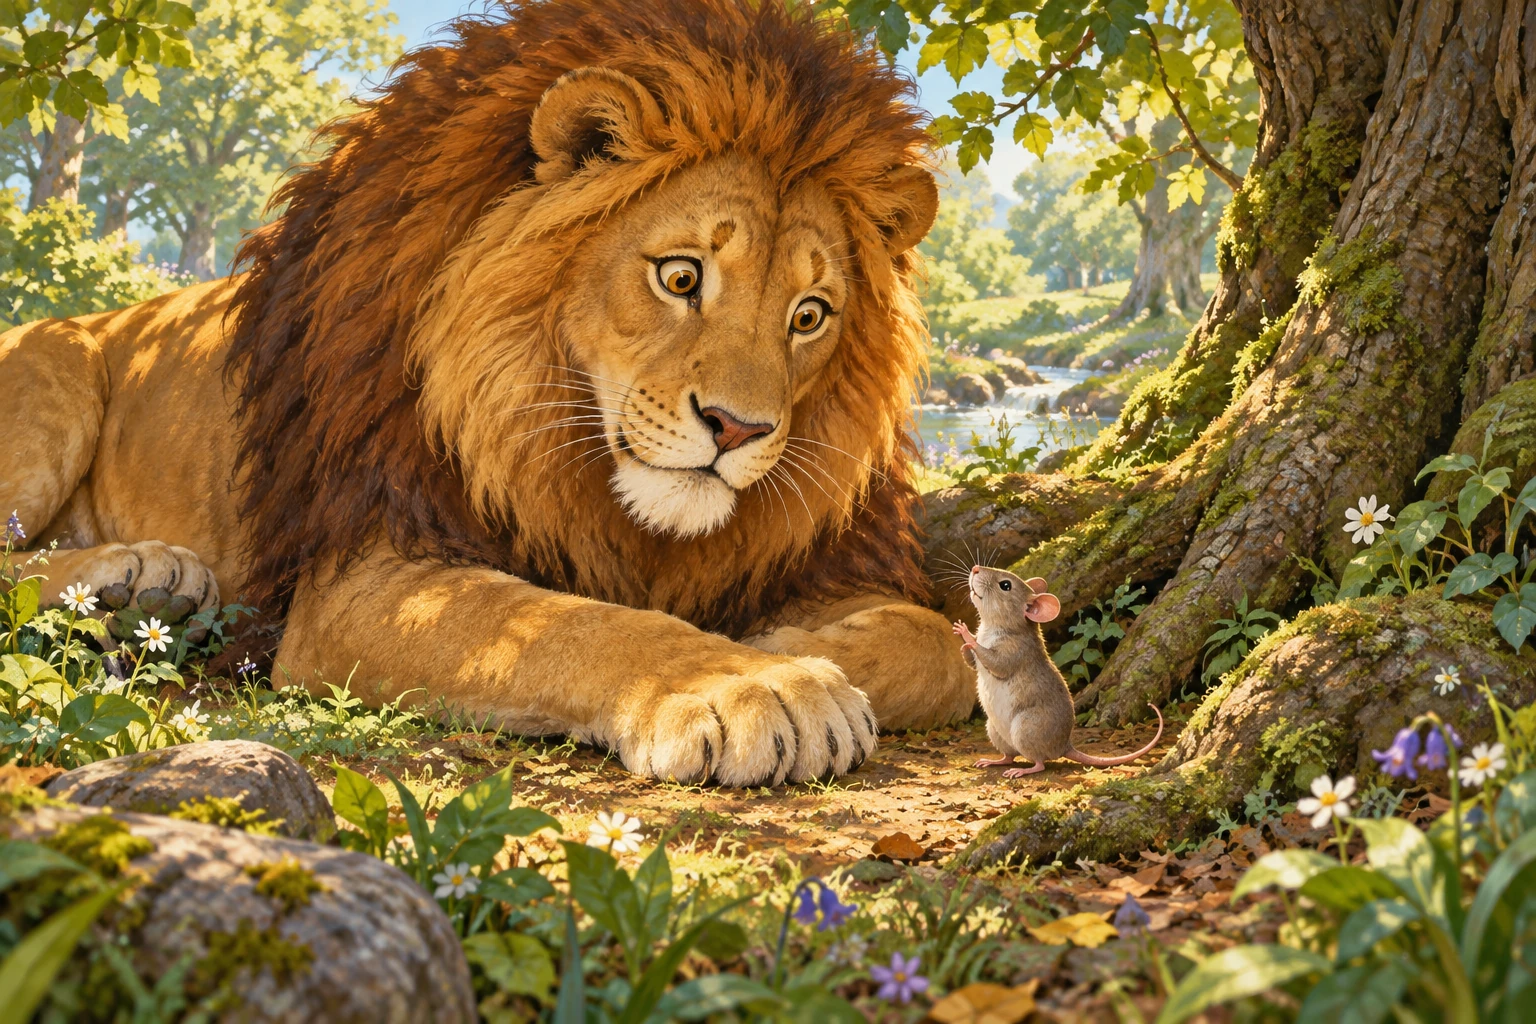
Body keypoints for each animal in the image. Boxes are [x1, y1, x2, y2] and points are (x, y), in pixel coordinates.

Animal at [0, 0, 974, 786]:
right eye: (681, 276)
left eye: (810, 316)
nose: (737, 429)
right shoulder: (365, 563)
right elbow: (565, 624)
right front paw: (752, 680)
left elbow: (940, 643)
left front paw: (783, 643)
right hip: (61, 363)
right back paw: (138, 575)